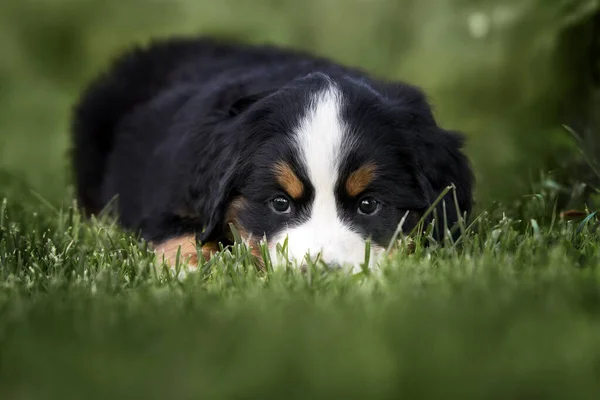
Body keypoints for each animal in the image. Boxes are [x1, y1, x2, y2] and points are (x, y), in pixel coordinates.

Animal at [71, 36, 474, 272]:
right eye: (280, 203)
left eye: (368, 205)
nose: (321, 274)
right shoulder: (166, 196)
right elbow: (179, 233)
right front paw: (194, 268)